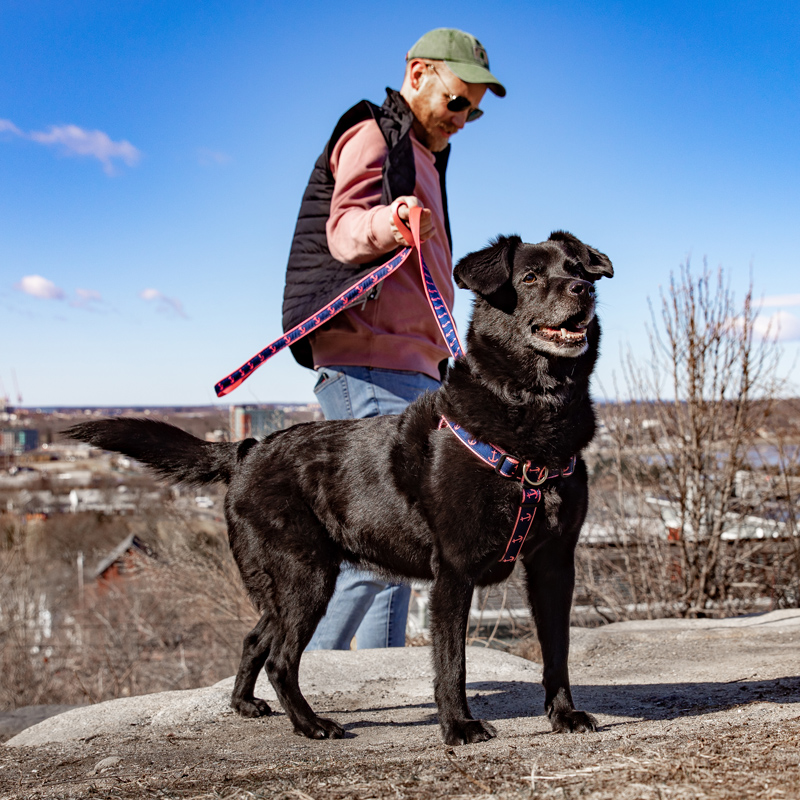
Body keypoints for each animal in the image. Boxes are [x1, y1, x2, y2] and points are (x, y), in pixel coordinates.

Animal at [70, 230, 612, 744]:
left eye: (578, 269)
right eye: (530, 278)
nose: (583, 289)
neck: (533, 416)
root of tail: (247, 449)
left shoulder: (554, 566)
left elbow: (558, 651)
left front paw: (563, 715)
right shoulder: (453, 572)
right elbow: (451, 662)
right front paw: (459, 726)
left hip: (287, 583)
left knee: (255, 639)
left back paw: (245, 704)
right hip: (305, 576)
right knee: (280, 659)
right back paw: (310, 725)